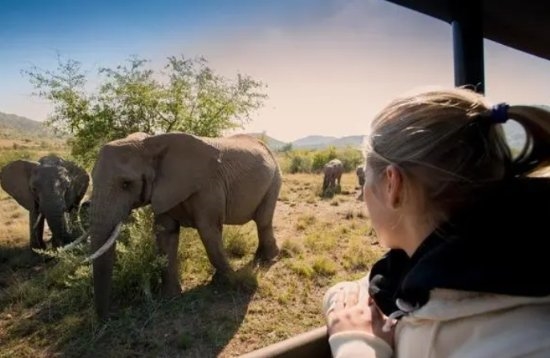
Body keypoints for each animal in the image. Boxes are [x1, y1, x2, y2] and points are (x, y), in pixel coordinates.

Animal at [88, 131, 282, 318]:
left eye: (126, 184)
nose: (109, 317)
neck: (150, 144)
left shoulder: (208, 187)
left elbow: (208, 231)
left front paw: (230, 281)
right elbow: (166, 235)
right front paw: (170, 297)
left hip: (275, 179)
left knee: (263, 220)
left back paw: (268, 259)